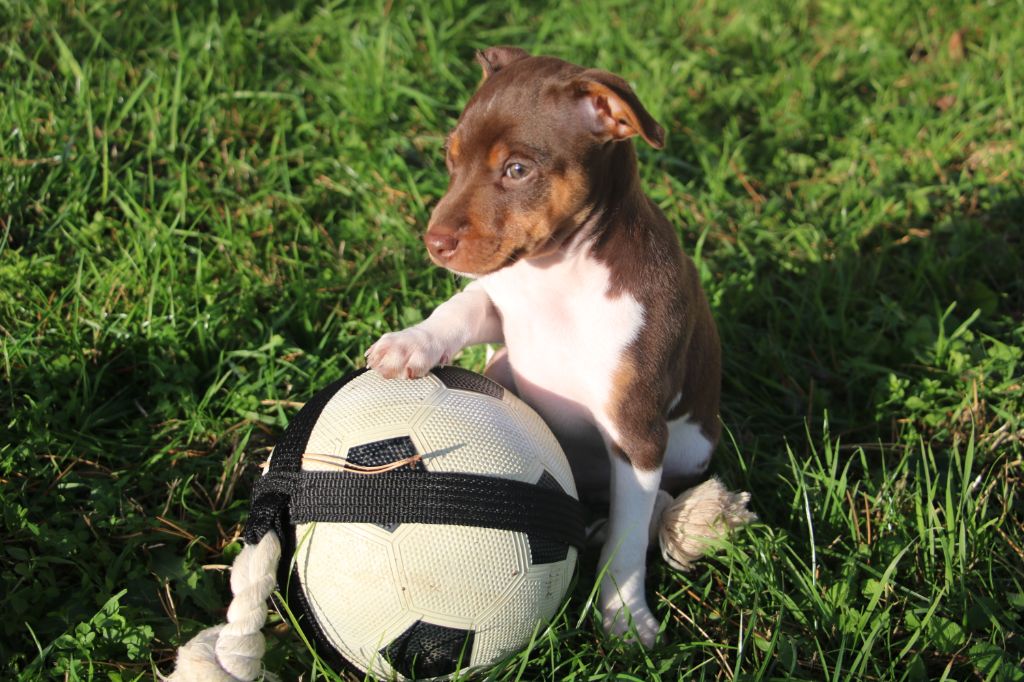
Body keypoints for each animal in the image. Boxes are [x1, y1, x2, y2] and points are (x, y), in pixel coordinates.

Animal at [368, 46, 737, 643]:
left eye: (517, 170)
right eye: (451, 158)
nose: (434, 243)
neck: (556, 277)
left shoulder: (636, 433)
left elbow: (628, 541)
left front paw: (626, 615)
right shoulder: (498, 306)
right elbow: (458, 308)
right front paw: (410, 343)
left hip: (688, 447)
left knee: (656, 501)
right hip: (503, 368)